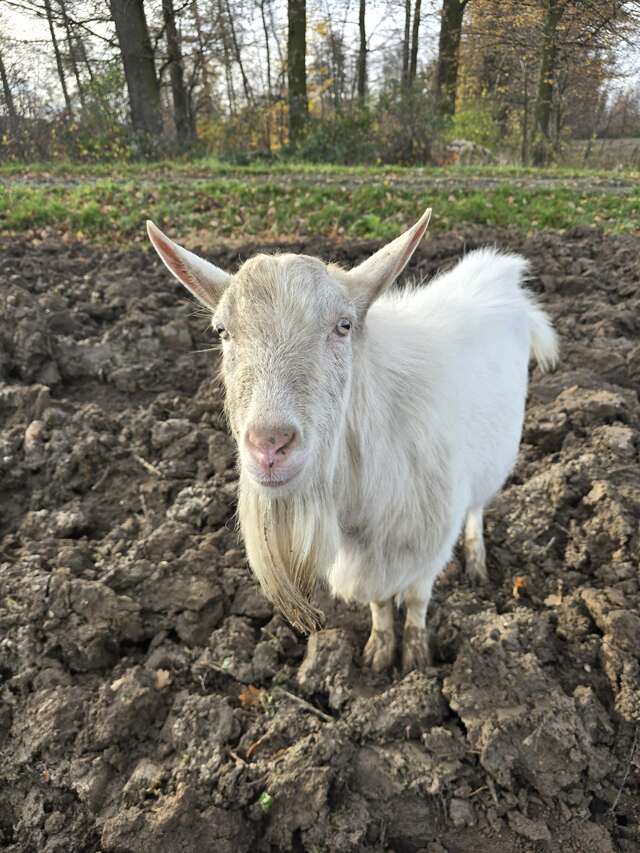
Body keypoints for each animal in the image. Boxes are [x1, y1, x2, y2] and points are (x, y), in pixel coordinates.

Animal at [147, 211, 558, 673]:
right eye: (222, 331)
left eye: (343, 326)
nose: (269, 446)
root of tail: (502, 274)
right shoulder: (365, 558)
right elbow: (379, 602)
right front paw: (379, 651)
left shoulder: (429, 541)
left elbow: (417, 599)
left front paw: (415, 656)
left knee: (476, 509)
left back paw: (476, 560)